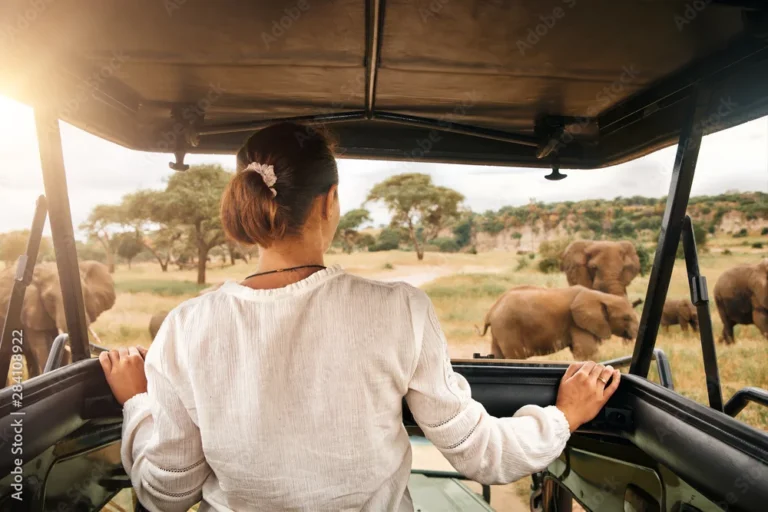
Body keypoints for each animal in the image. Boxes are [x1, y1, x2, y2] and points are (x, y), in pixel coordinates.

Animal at [477, 285, 639, 360]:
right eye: (626, 318)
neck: (601, 296)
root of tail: (491, 311)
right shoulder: (577, 323)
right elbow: (588, 353)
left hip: (500, 330)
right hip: (508, 327)